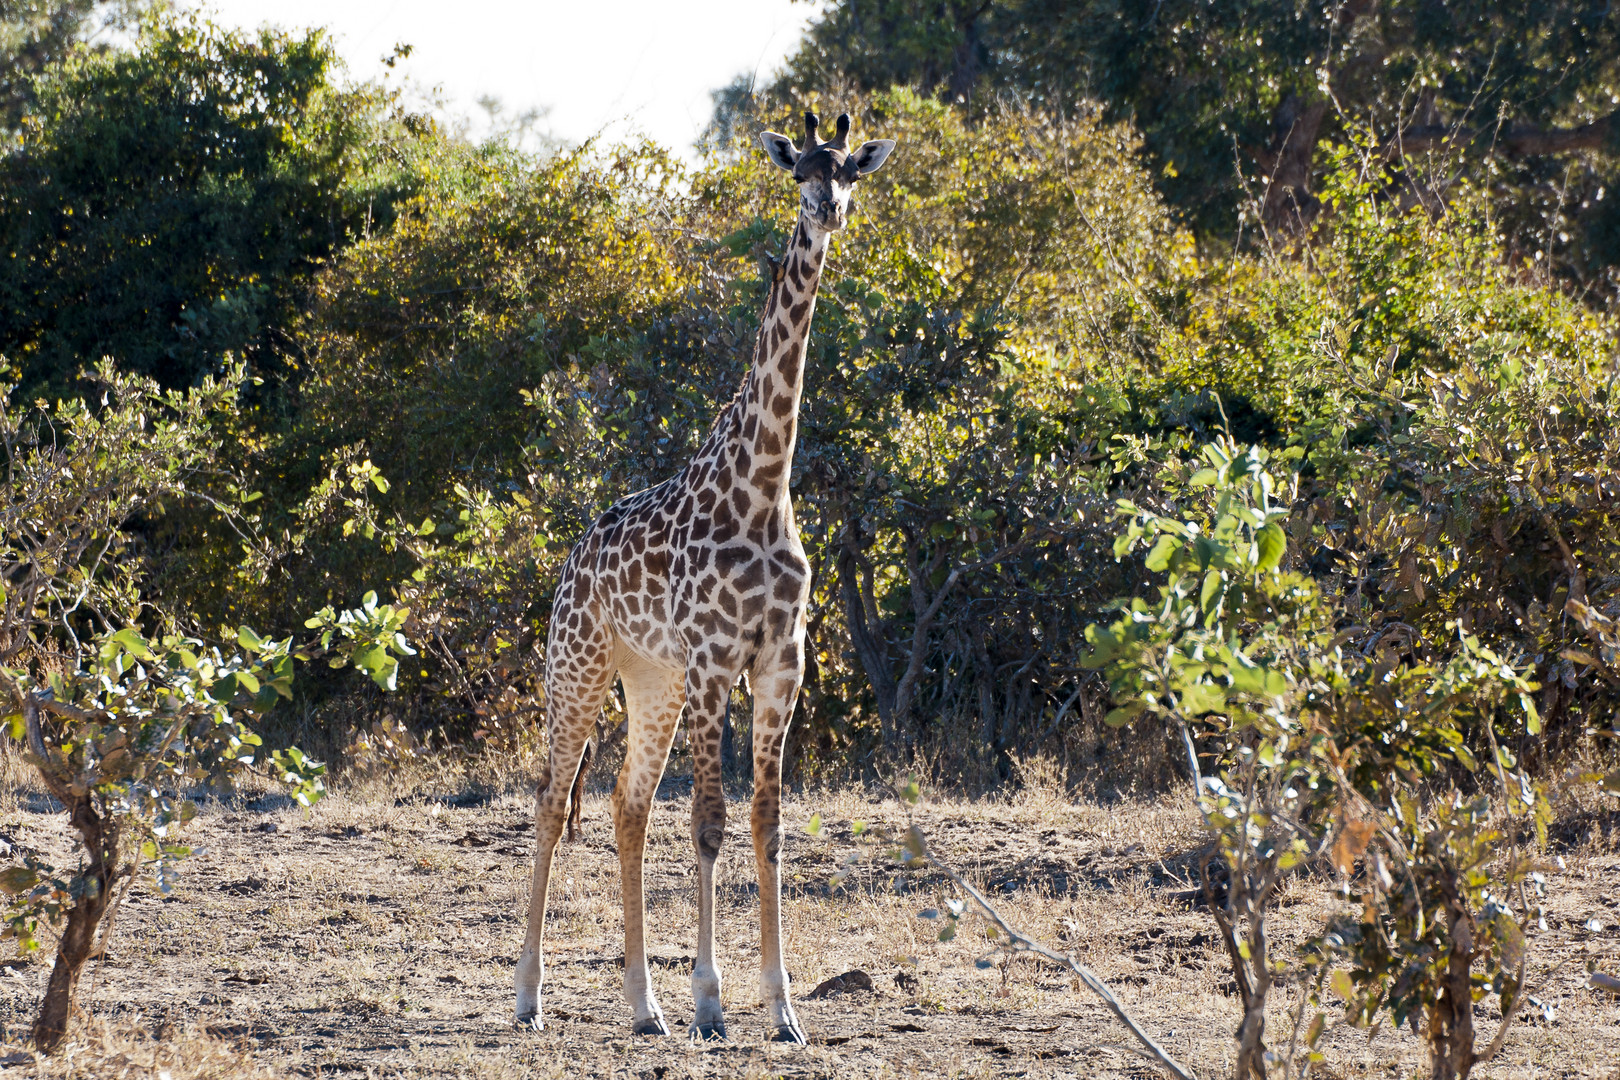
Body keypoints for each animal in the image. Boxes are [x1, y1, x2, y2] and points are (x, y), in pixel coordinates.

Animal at [515, 111, 900, 1049]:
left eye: (851, 171)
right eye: (799, 170)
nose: (828, 210)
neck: (762, 484)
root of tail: (568, 563)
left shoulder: (780, 663)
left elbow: (767, 826)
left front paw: (785, 1009)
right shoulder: (718, 660)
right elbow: (710, 824)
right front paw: (711, 1002)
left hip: (650, 681)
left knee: (626, 805)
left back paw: (641, 1007)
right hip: (579, 668)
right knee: (550, 799)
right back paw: (530, 996)